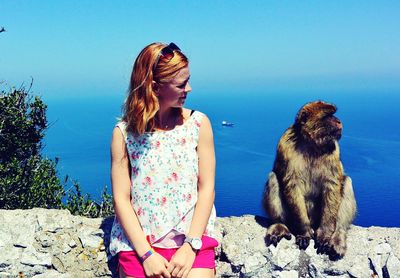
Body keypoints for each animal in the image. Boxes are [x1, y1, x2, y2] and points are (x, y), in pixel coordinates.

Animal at [262, 100, 356, 260]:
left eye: (333, 114)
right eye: (328, 116)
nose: (339, 121)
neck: (312, 143)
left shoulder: (333, 148)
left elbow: (332, 185)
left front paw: (325, 235)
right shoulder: (285, 145)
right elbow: (292, 184)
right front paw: (304, 232)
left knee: (347, 182)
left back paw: (338, 235)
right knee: (273, 178)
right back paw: (280, 225)